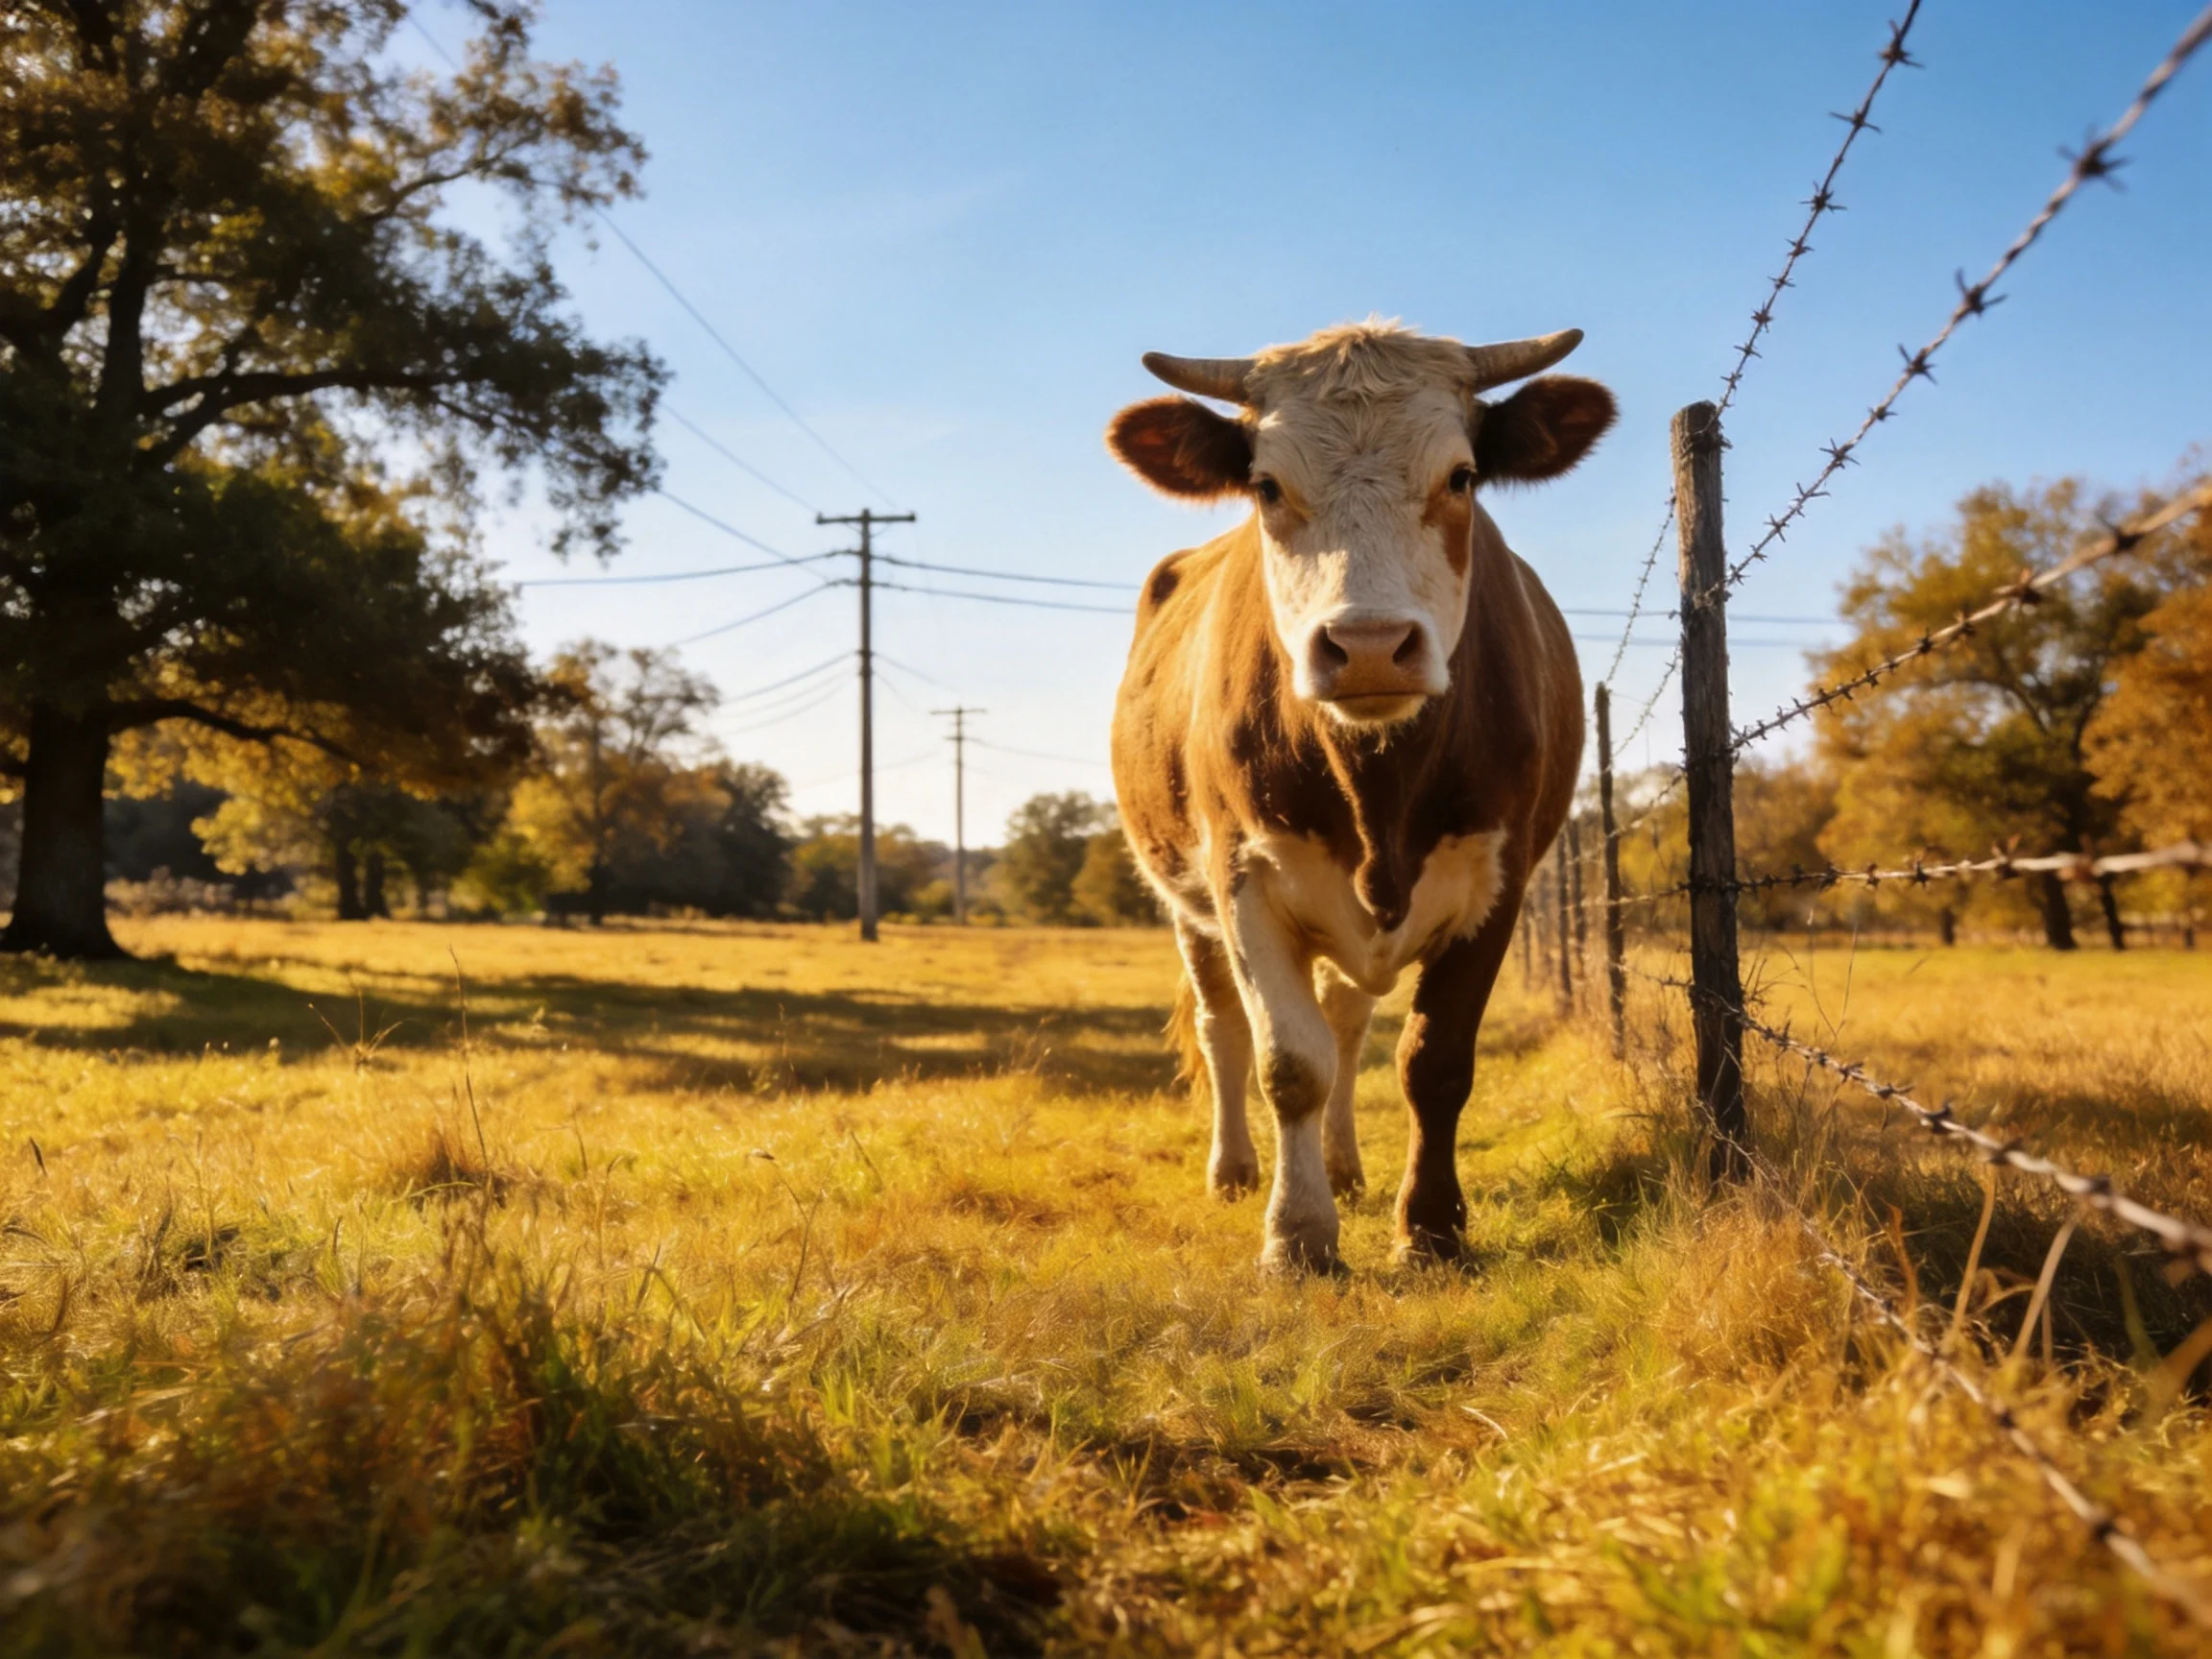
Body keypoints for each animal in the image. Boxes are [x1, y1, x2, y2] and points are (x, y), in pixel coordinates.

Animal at [1105, 320, 1612, 1273]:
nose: (1370, 646)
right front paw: (1298, 1234)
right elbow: (1287, 1062)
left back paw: (1343, 1167)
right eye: (1266, 485)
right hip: (1187, 907)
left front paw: (1431, 1228)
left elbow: (1431, 1062)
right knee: (1224, 1031)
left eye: (1462, 477)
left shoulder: (1501, 881)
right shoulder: (1242, 881)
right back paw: (1235, 1170)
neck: (1378, 788)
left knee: (1346, 1026)